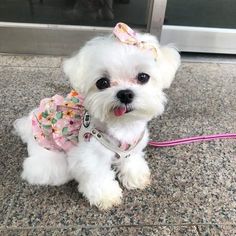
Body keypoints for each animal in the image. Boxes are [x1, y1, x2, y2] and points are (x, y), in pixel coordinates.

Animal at [13, 22, 180, 210]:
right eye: (102, 83)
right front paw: (106, 196)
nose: (125, 94)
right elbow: (98, 176)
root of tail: (29, 128)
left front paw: (135, 176)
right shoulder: (90, 157)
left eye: (143, 77)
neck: (122, 125)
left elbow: (131, 160)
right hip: (52, 163)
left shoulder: (134, 145)